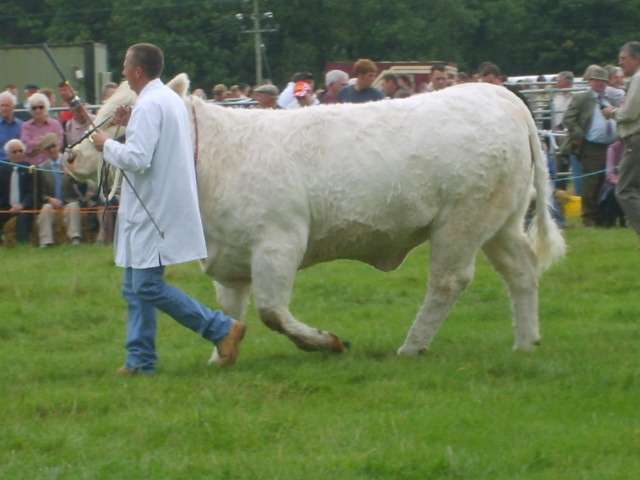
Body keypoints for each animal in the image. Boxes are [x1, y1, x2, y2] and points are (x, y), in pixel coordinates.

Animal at [67, 74, 565, 362]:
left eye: (124, 112)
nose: (71, 156)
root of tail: (500, 95)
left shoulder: (278, 241)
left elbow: (272, 312)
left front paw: (324, 342)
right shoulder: (229, 256)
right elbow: (228, 310)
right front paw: (221, 355)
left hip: (460, 220)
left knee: (448, 282)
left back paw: (412, 346)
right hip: (499, 220)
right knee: (521, 269)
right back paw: (526, 342)